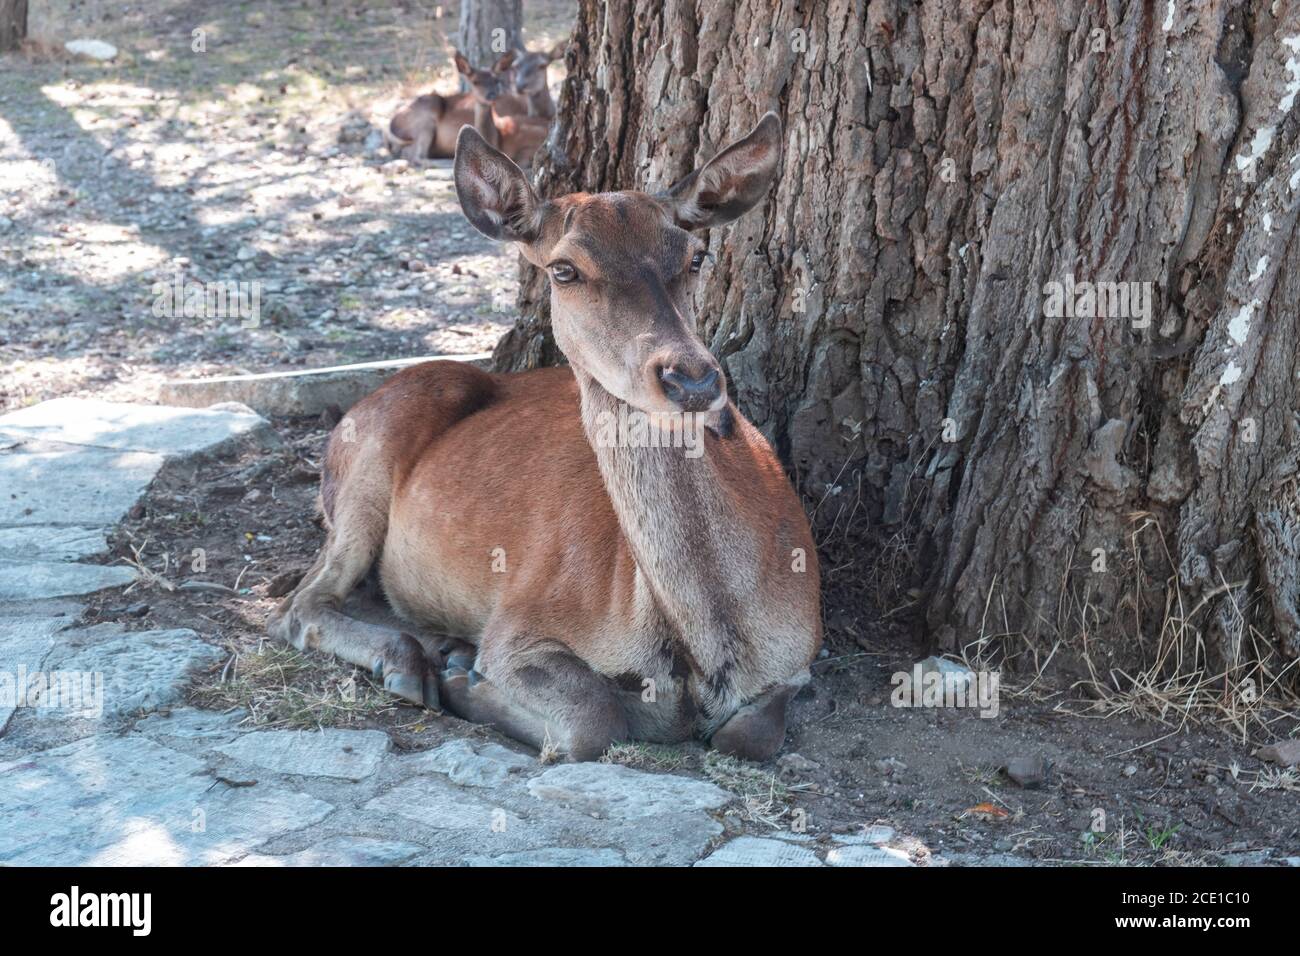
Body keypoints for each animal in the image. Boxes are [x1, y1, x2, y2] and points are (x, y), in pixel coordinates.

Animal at [271, 111, 821, 764]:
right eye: (565, 269)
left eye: (695, 257)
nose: (692, 379)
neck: (710, 650)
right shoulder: (522, 619)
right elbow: (592, 716)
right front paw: (464, 680)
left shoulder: (803, 652)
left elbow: (750, 734)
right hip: (367, 465)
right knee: (298, 604)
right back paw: (412, 661)